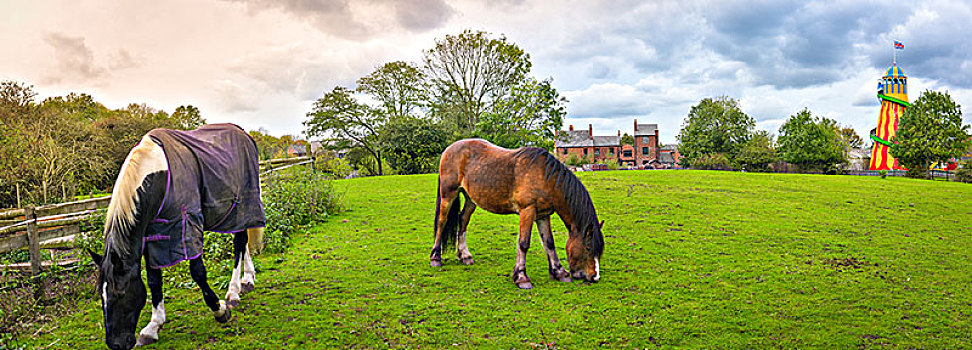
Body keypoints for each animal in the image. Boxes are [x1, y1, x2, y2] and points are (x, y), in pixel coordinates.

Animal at [89, 124, 264, 348]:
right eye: (100, 295)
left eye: (120, 293)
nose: (116, 345)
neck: (159, 176)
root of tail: (243, 133)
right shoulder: (151, 237)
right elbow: (154, 280)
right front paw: (153, 327)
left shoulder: (188, 224)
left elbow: (197, 272)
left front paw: (220, 310)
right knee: (244, 243)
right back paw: (247, 280)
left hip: (241, 204)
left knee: (239, 242)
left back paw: (233, 292)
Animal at [430, 138, 604, 288]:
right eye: (588, 247)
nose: (595, 277)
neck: (545, 177)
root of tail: (449, 149)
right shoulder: (527, 211)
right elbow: (523, 243)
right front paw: (521, 277)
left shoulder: (543, 215)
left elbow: (549, 242)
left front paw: (559, 272)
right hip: (448, 195)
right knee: (442, 222)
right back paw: (435, 257)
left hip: (471, 199)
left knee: (463, 220)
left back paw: (464, 255)